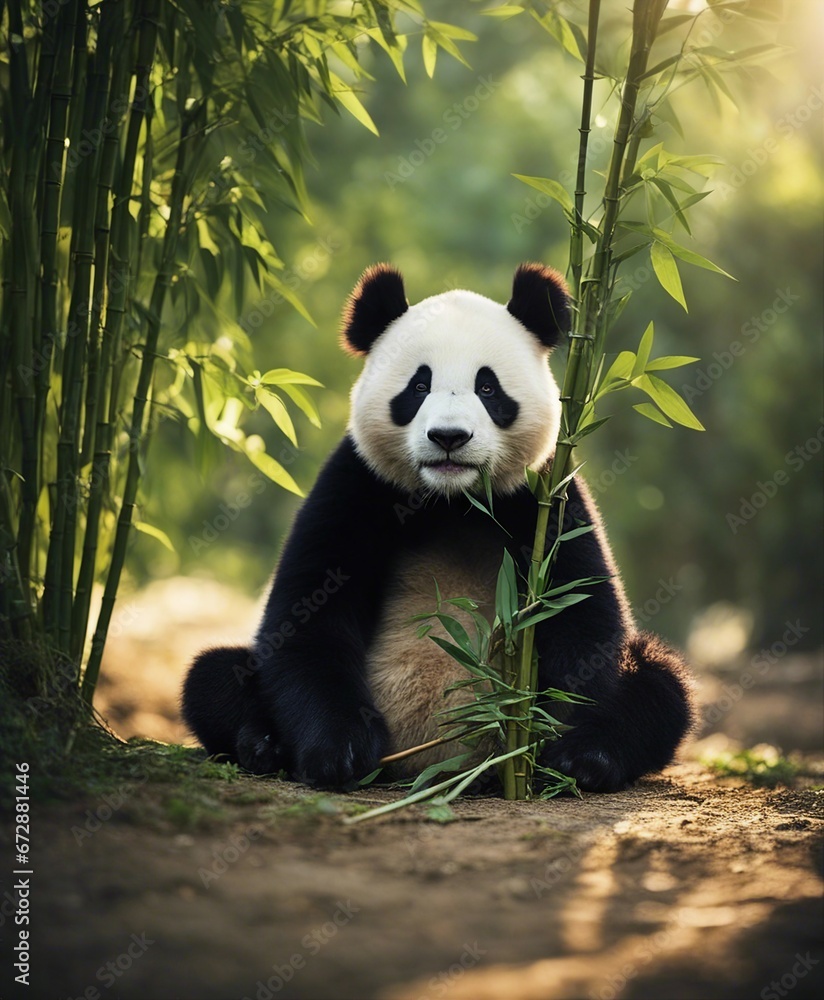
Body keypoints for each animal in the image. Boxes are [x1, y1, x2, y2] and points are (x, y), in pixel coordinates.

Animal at [182, 263, 695, 793]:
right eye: (418, 387)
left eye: (488, 388)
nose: (449, 437)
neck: (452, 501)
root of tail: (436, 766)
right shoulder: (356, 485)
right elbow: (308, 617)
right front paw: (339, 752)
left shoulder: (546, 500)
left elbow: (582, 618)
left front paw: (556, 747)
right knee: (214, 676)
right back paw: (262, 746)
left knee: (661, 685)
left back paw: (590, 758)